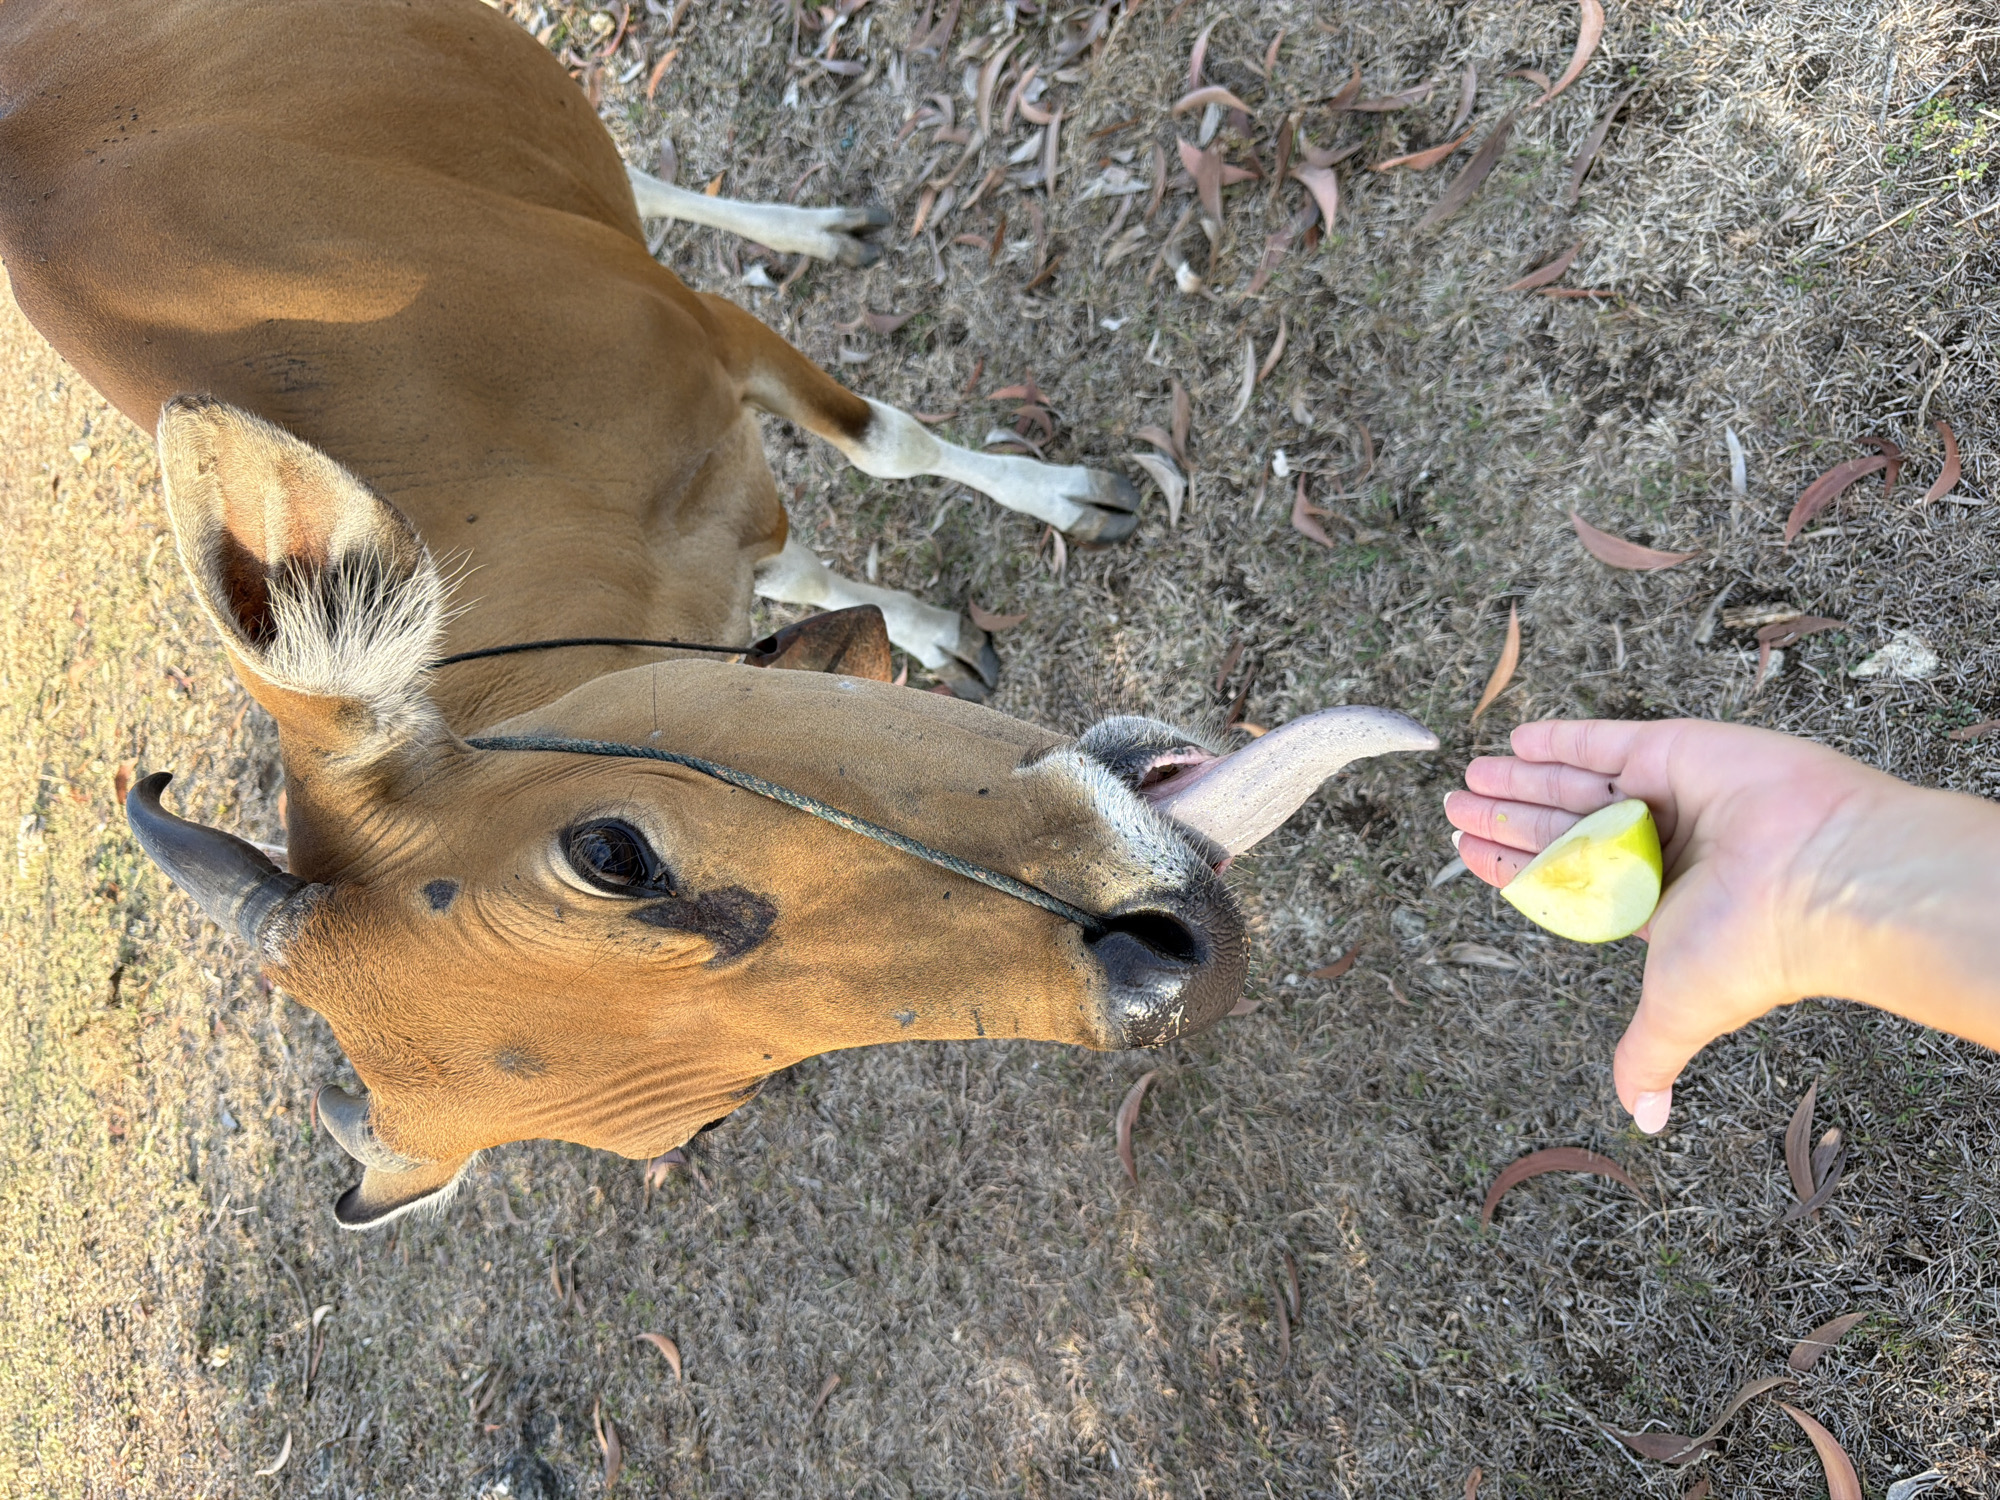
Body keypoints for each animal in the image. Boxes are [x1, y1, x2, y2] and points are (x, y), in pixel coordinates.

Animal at [0, 0, 1435, 1228]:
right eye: (710, 1123)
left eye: (611, 852)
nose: (1165, 975)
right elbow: (810, 572)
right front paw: (927, 628)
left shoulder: (708, 333)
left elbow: (883, 443)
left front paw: (1067, 498)